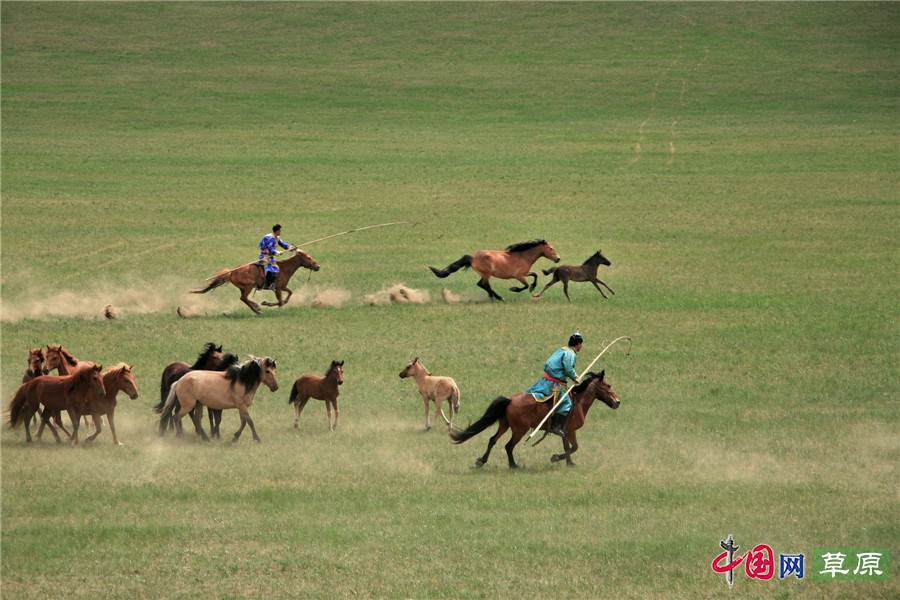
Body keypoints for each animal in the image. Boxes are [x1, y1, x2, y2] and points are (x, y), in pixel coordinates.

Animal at [188, 248, 322, 314]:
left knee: (243, 298)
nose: (317, 266)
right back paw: (257, 308)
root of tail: (231, 272)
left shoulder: (283, 287)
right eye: (308, 257)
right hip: (248, 286)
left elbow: (289, 294)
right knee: (243, 298)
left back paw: (256, 309)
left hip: (244, 288)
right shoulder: (278, 289)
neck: (283, 269)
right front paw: (265, 303)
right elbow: (280, 301)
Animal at [430, 239, 564, 302]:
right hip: (486, 273)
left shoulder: (525, 273)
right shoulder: (519, 276)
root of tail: (472, 257)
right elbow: (525, 285)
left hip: (485, 274)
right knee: (482, 284)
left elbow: (535, 275)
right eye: (551, 248)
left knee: (484, 285)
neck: (523, 256)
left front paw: (532, 287)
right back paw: (499, 297)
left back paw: (493, 296)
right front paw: (514, 289)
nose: (558, 258)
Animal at [450, 370, 620, 468]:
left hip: (504, 426)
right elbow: (574, 447)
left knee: (493, 440)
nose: (617, 402)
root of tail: (510, 400)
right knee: (508, 446)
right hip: (519, 430)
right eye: (608, 385)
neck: (578, 402)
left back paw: (481, 461)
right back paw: (513, 465)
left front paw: (569, 463)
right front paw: (556, 458)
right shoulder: (571, 431)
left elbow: (567, 447)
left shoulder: (564, 432)